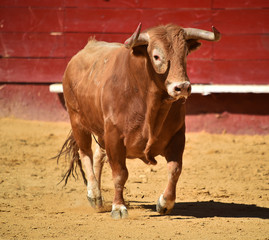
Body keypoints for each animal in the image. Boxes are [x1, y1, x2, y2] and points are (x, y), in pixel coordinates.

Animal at [57, 23, 219, 219]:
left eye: (185, 53)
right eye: (156, 56)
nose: (182, 87)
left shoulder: (178, 135)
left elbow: (175, 169)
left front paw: (165, 203)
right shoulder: (114, 136)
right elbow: (120, 173)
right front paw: (118, 207)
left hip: (101, 131)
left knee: (98, 156)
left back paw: (99, 200)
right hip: (77, 121)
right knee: (85, 153)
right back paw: (94, 194)